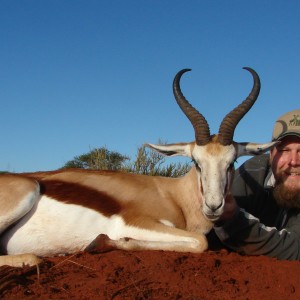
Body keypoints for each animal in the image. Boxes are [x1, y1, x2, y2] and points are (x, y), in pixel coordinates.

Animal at [0, 67, 276, 268]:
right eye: (195, 162)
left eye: (232, 162)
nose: (214, 205)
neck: (174, 196)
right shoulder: (136, 223)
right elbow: (200, 242)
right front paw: (103, 243)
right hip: (27, 191)